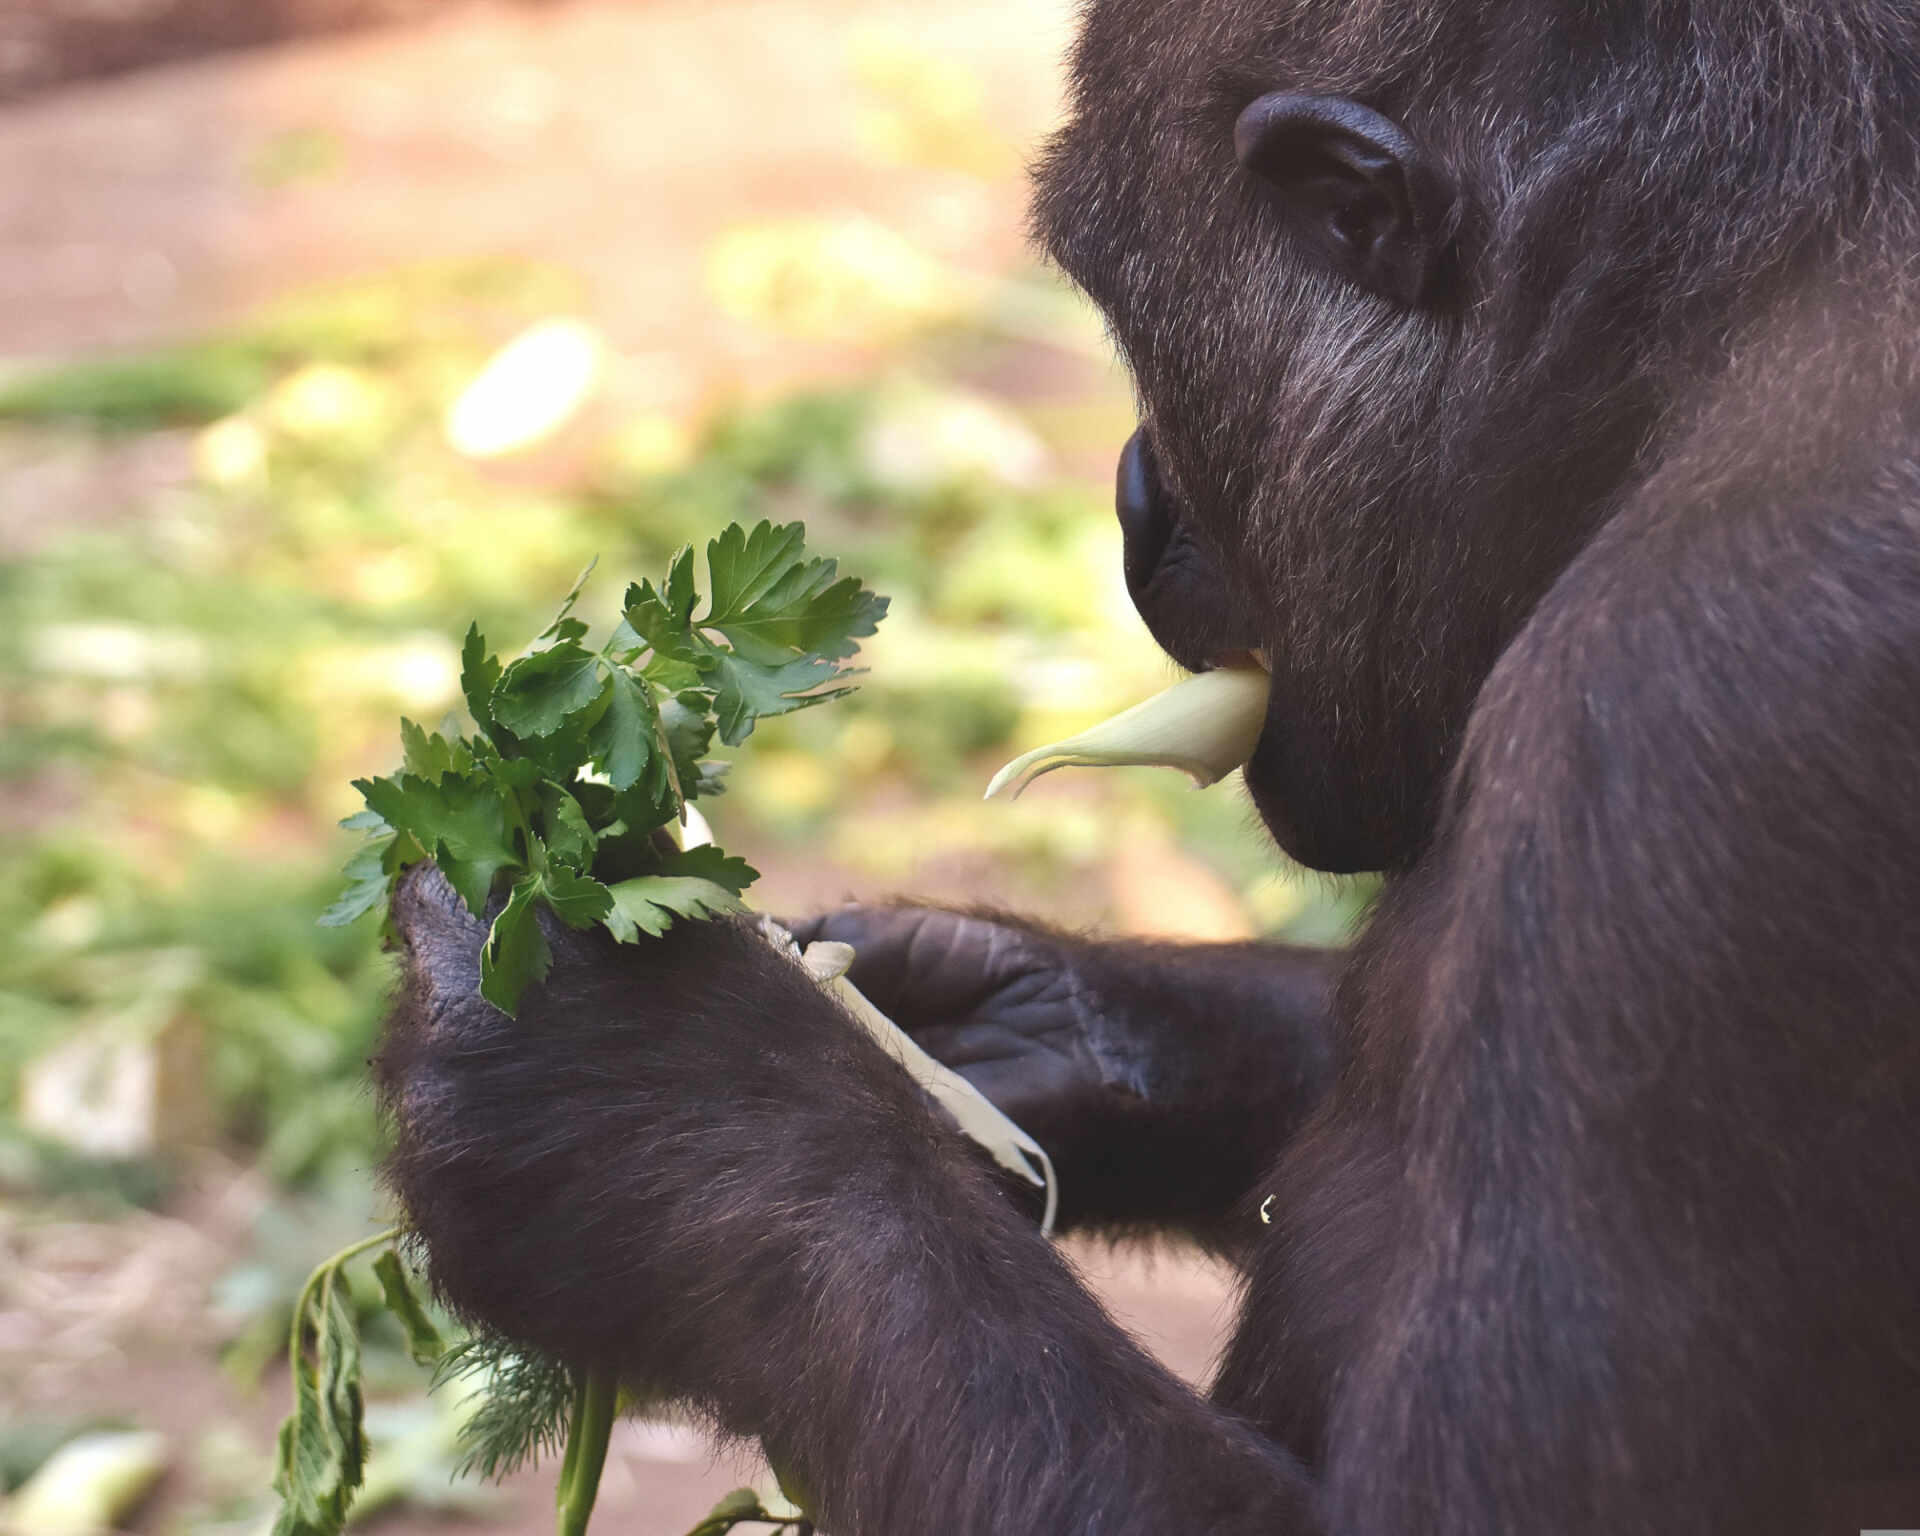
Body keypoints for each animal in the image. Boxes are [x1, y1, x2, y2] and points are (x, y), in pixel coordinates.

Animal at [374, 6, 1920, 1528]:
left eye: (1138, 328)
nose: (1131, 497)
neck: (1714, 355)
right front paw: (1025, 1025)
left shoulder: (1690, 722)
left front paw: (646, 1109)